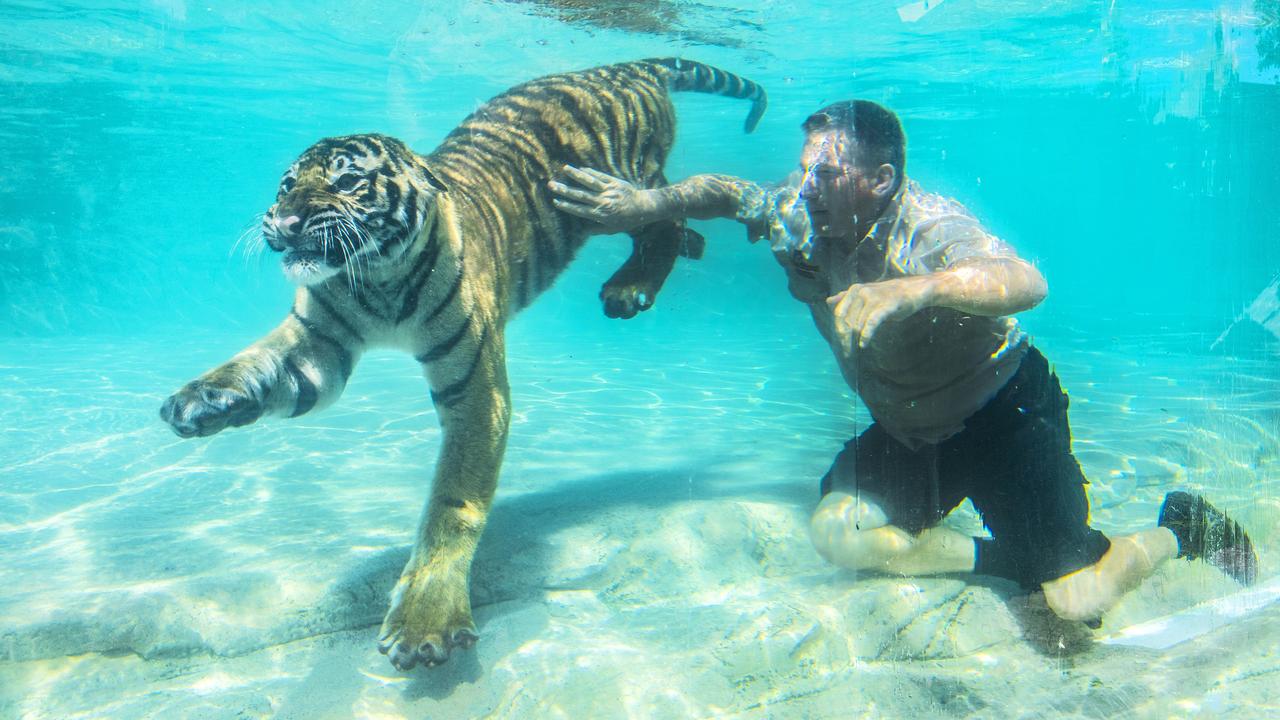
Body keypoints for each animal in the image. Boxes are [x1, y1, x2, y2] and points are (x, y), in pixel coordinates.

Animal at [156, 58, 762, 671]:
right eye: (286, 185)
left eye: (346, 182)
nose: (283, 221)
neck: (378, 280)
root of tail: (621, 66)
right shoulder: (318, 342)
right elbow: (260, 364)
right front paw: (203, 400)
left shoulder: (476, 393)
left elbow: (452, 502)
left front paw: (426, 621)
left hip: (617, 186)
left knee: (663, 211)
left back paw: (629, 287)